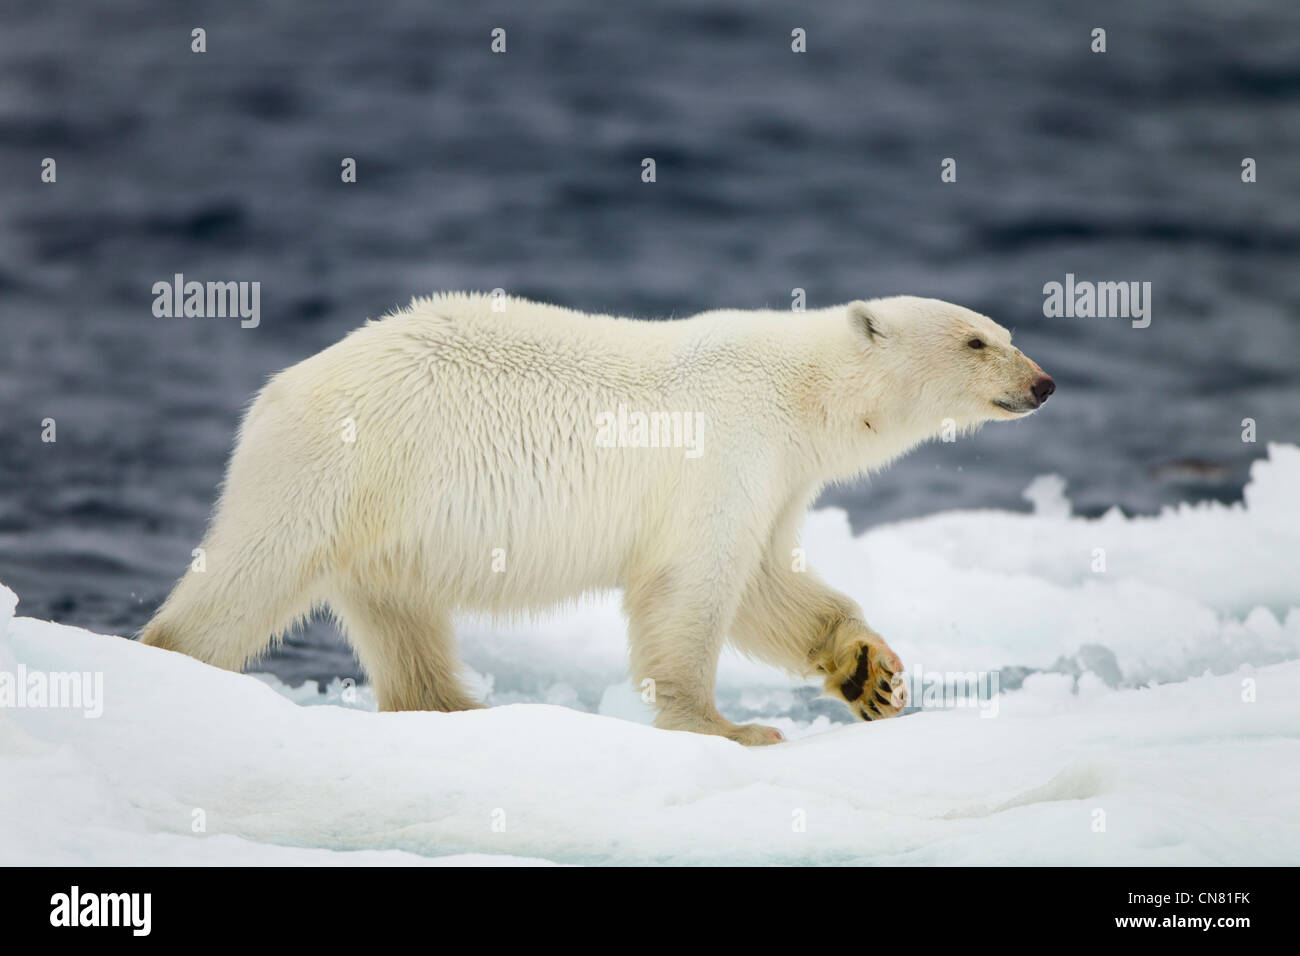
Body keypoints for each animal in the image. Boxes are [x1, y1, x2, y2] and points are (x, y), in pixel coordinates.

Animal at [142, 295, 1050, 743]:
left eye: (1004, 330)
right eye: (976, 341)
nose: (1042, 383)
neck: (799, 390)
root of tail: (274, 392)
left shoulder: (778, 474)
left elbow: (767, 581)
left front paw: (873, 675)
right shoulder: (727, 445)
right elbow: (694, 583)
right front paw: (730, 728)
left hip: (388, 517)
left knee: (398, 615)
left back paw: (458, 711)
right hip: (338, 467)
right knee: (248, 576)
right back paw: (174, 663)